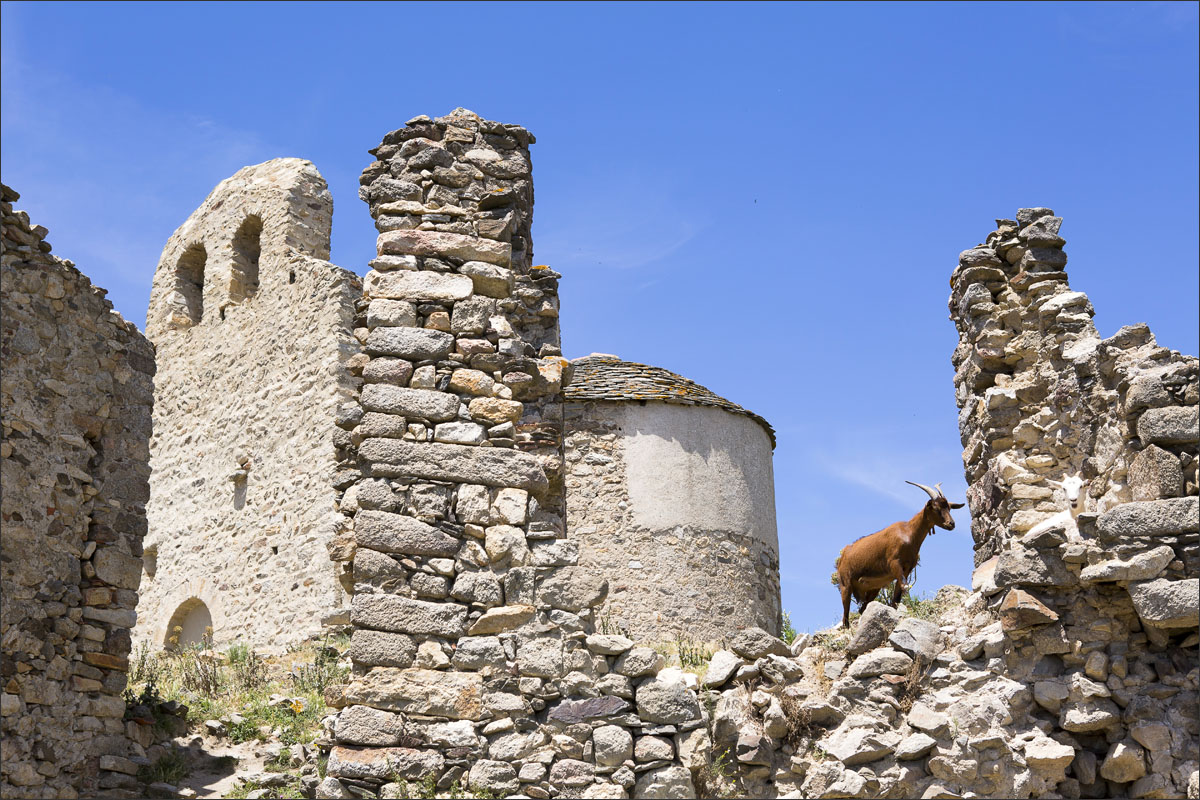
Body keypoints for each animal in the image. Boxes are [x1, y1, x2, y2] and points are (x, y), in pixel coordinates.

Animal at [835, 479, 964, 628]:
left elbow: (897, 595)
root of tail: (843, 555)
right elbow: (904, 587)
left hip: (873, 587)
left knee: (863, 608)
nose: (951, 524)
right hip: (845, 584)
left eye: (949, 508)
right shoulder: (895, 564)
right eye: (936, 508)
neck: (909, 533)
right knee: (845, 615)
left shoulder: (907, 569)